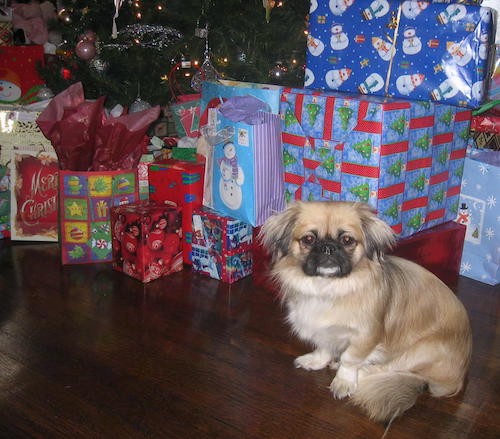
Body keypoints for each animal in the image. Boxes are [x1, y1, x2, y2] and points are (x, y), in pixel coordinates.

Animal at [260, 202, 470, 422]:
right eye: (309, 239)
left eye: (347, 240)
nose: (328, 247)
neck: (329, 288)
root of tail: (458, 379)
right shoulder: (322, 331)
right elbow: (324, 347)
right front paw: (316, 361)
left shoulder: (366, 336)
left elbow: (349, 359)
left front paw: (343, 382)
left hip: (423, 349)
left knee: (389, 369)